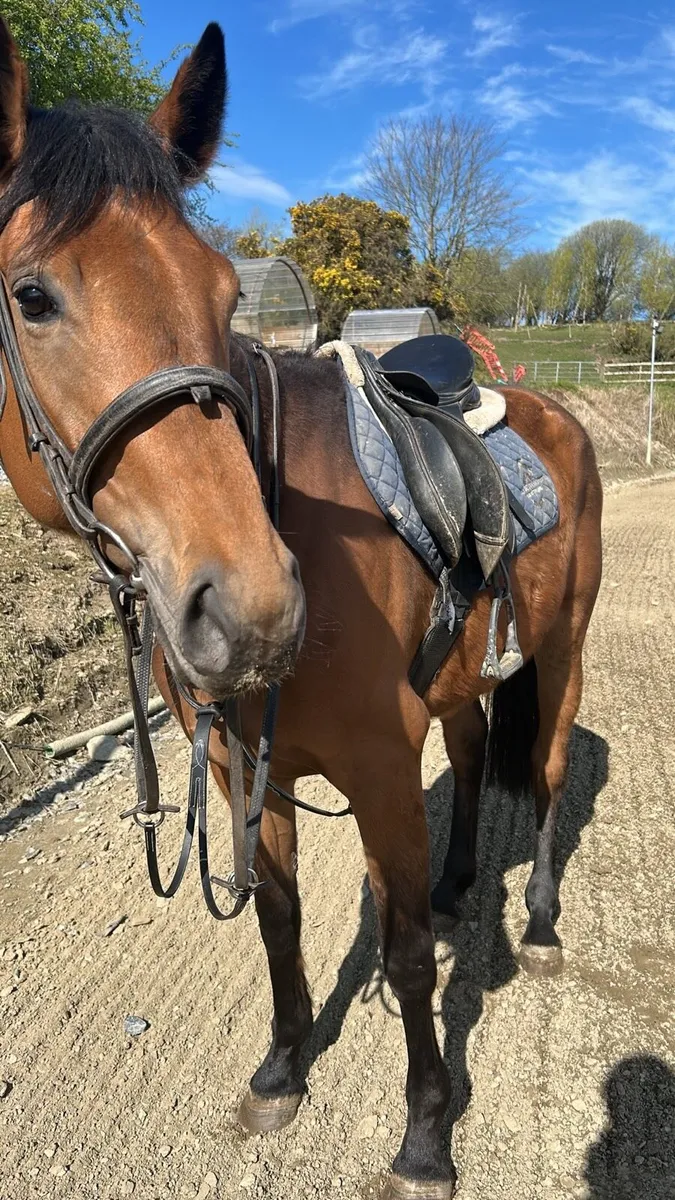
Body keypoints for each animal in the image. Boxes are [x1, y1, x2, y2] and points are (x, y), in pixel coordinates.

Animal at [0, 18, 602, 1198]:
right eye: (31, 295)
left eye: (225, 294)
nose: (253, 608)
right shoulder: (250, 764)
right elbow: (277, 919)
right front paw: (282, 1067)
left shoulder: (378, 767)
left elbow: (407, 957)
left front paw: (424, 1136)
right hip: (458, 684)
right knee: (474, 758)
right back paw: (463, 881)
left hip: (562, 654)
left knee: (547, 771)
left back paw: (543, 921)